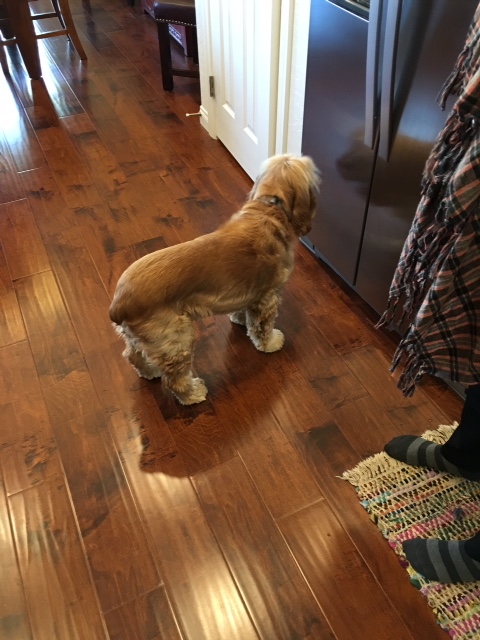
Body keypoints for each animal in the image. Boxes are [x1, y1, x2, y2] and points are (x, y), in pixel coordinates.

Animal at [109, 153, 321, 405]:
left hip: (142, 339)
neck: (269, 206)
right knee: (174, 380)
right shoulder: (268, 296)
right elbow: (262, 327)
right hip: (175, 341)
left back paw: (149, 372)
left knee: (132, 355)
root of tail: (118, 304)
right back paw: (193, 394)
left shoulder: (249, 291)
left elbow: (244, 312)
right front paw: (269, 343)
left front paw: (239, 320)